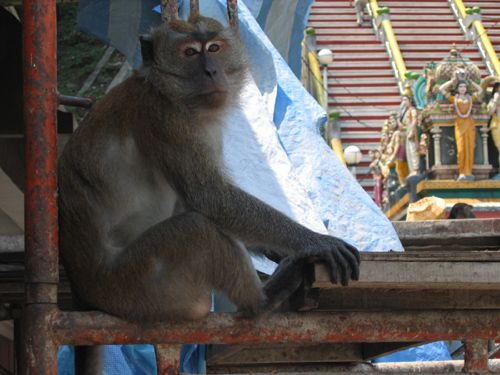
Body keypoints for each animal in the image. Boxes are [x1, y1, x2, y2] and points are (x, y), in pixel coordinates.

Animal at [57, 13, 360, 374]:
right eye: (190, 53)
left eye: (214, 48)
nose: (212, 71)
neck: (169, 93)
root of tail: (84, 292)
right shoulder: (166, 118)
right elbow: (209, 197)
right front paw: (313, 241)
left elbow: (201, 202)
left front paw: (277, 248)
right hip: (133, 285)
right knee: (195, 229)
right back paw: (262, 301)